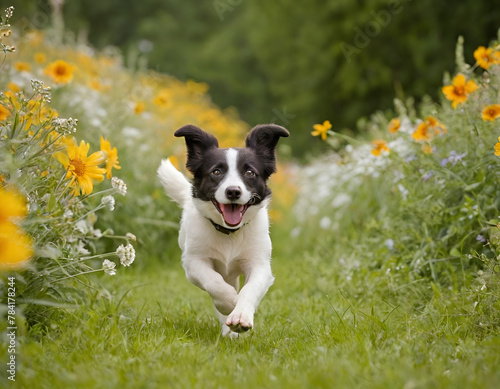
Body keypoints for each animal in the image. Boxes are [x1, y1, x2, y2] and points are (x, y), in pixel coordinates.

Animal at [156, 124, 290, 336]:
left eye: (250, 172)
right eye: (216, 172)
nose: (233, 191)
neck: (229, 233)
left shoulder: (260, 265)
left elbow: (249, 289)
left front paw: (241, 315)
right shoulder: (193, 262)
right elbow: (214, 282)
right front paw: (230, 302)